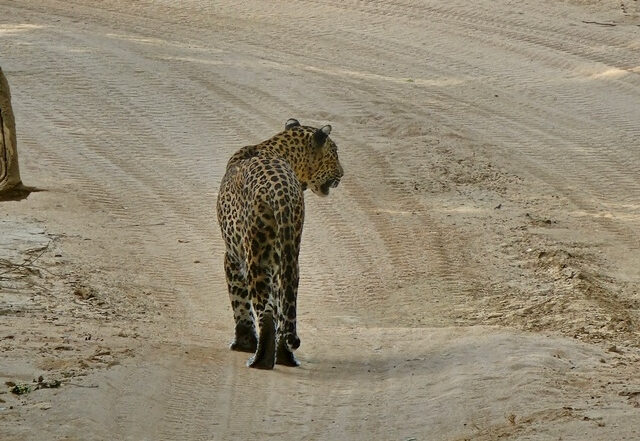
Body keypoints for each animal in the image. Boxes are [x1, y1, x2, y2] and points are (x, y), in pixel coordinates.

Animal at [216, 118, 343, 369]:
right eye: (334, 153)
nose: (342, 174)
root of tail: (280, 189)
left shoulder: (232, 256)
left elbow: (239, 301)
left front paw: (243, 343)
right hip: (288, 255)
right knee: (284, 308)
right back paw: (285, 357)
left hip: (254, 254)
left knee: (264, 311)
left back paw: (259, 360)